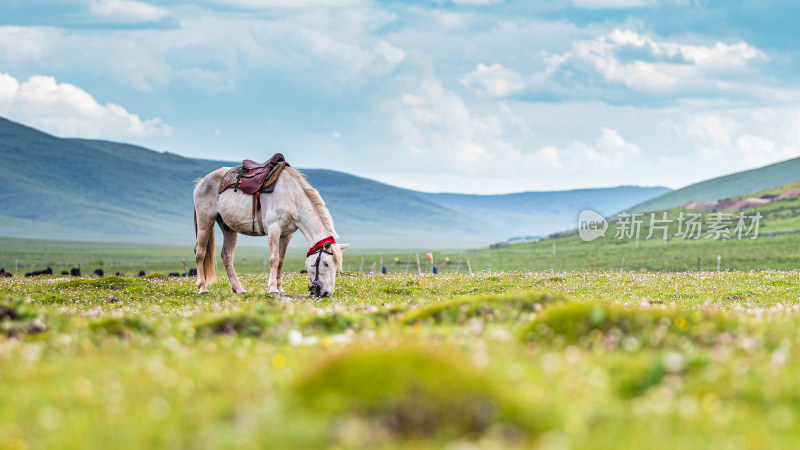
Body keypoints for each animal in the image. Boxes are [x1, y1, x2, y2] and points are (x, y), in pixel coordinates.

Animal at [194, 167, 350, 298]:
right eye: (325, 263)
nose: (327, 293)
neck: (291, 197)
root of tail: (201, 182)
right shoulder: (274, 230)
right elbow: (274, 259)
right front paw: (273, 289)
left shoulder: (286, 234)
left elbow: (281, 261)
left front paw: (280, 290)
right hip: (205, 222)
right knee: (200, 252)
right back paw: (202, 289)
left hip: (229, 228)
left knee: (226, 256)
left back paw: (239, 289)